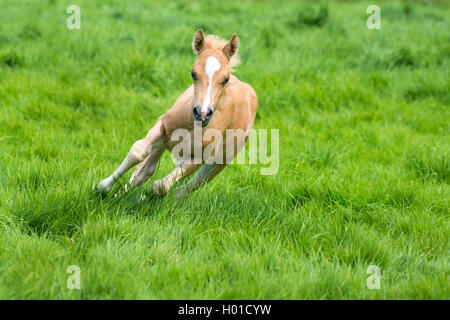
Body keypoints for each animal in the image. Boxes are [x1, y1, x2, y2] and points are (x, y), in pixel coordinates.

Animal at [96, 30, 256, 200]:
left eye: (226, 79)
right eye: (193, 73)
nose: (202, 113)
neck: (191, 125)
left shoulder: (199, 157)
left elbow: (162, 186)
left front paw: (146, 196)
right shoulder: (162, 126)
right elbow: (138, 151)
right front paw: (102, 188)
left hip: (220, 161)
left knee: (191, 184)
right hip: (165, 142)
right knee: (145, 170)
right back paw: (120, 196)